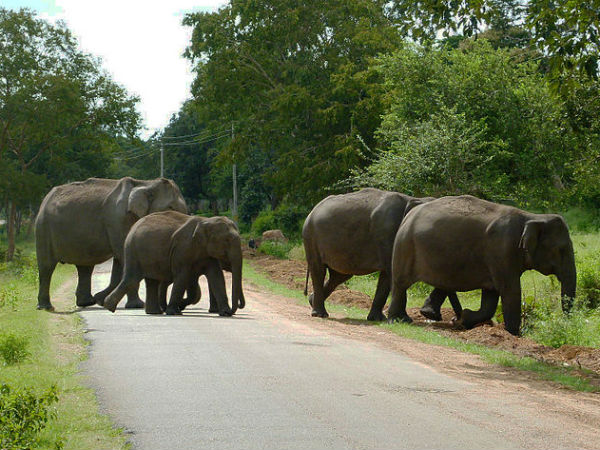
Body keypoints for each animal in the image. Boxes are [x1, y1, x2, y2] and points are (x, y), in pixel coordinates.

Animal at [35, 176, 188, 310]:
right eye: (171, 207)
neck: (145, 183)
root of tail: (45, 199)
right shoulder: (118, 219)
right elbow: (124, 256)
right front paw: (137, 306)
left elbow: (120, 260)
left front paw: (101, 300)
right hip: (43, 227)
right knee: (47, 266)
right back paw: (46, 307)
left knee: (85, 267)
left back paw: (88, 302)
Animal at [102, 212, 245, 314]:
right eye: (227, 240)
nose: (234, 309)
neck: (206, 220)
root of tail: (133, 227)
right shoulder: (183, 248)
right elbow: (182, 276)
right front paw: (174, 311)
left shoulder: (206, 252)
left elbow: (216, 277)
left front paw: (224, 313)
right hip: (133, 250)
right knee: (132, 279)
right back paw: (109, 307)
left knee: (152, 282)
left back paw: (154, 312)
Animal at [302, 188, 462, 322]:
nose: (456, 319)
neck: (413, 199)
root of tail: (312, 211)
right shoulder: (387, 233)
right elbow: (394, 272)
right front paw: (404, 320)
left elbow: (387, 276)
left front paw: (377, 319)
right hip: (311, 237)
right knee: (319, 270)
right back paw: (320, 314)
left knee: (340, 275)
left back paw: (311, 300)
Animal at [386, 195, 580, 336]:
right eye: (561, 249)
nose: (565, 324)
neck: (531, 217)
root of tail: (409, 215)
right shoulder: (502, 250)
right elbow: (510, 291)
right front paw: (513, 335)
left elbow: (491, 297)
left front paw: (463, 318)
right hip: (405, 246)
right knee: (400, 284)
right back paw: (398, 320)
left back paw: (421, 316)